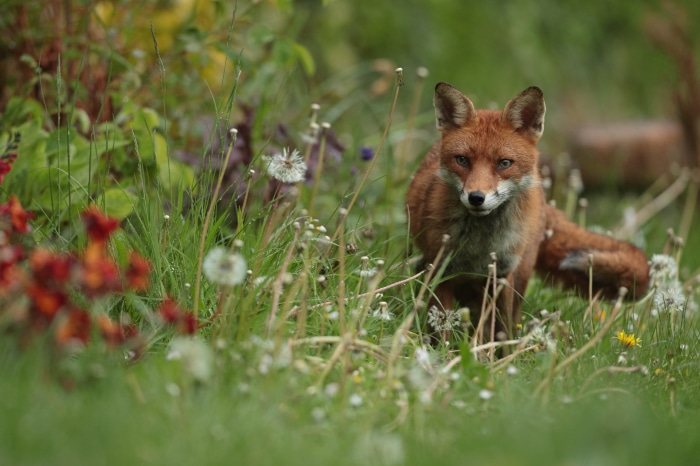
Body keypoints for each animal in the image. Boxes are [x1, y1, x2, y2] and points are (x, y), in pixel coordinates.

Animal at [406, 82, 650, 339]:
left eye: (504, 163)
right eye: (462, 160)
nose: (476, 198)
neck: (479, 247)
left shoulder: (502, 276)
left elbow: (501, 330)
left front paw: (495, 351)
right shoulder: (440, 271)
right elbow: (440, 328)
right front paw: (441, 349)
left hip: (519, 275)